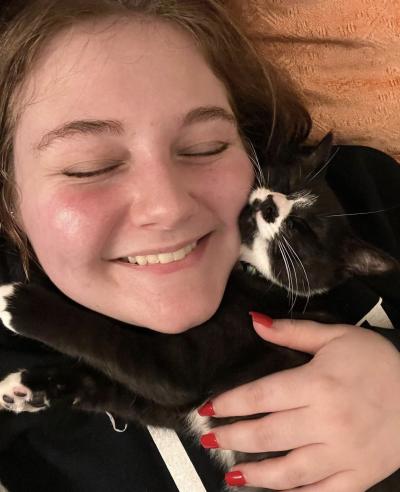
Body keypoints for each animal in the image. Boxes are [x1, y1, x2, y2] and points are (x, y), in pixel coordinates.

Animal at [0, 135, 396, 492]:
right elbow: (110, 387)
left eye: (301, 228)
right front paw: (28, 390)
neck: (256, 280)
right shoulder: (179, 405)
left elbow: (109, 338)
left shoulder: (190, 368)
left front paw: (21, 304)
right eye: (283, 182)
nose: (270, 203)